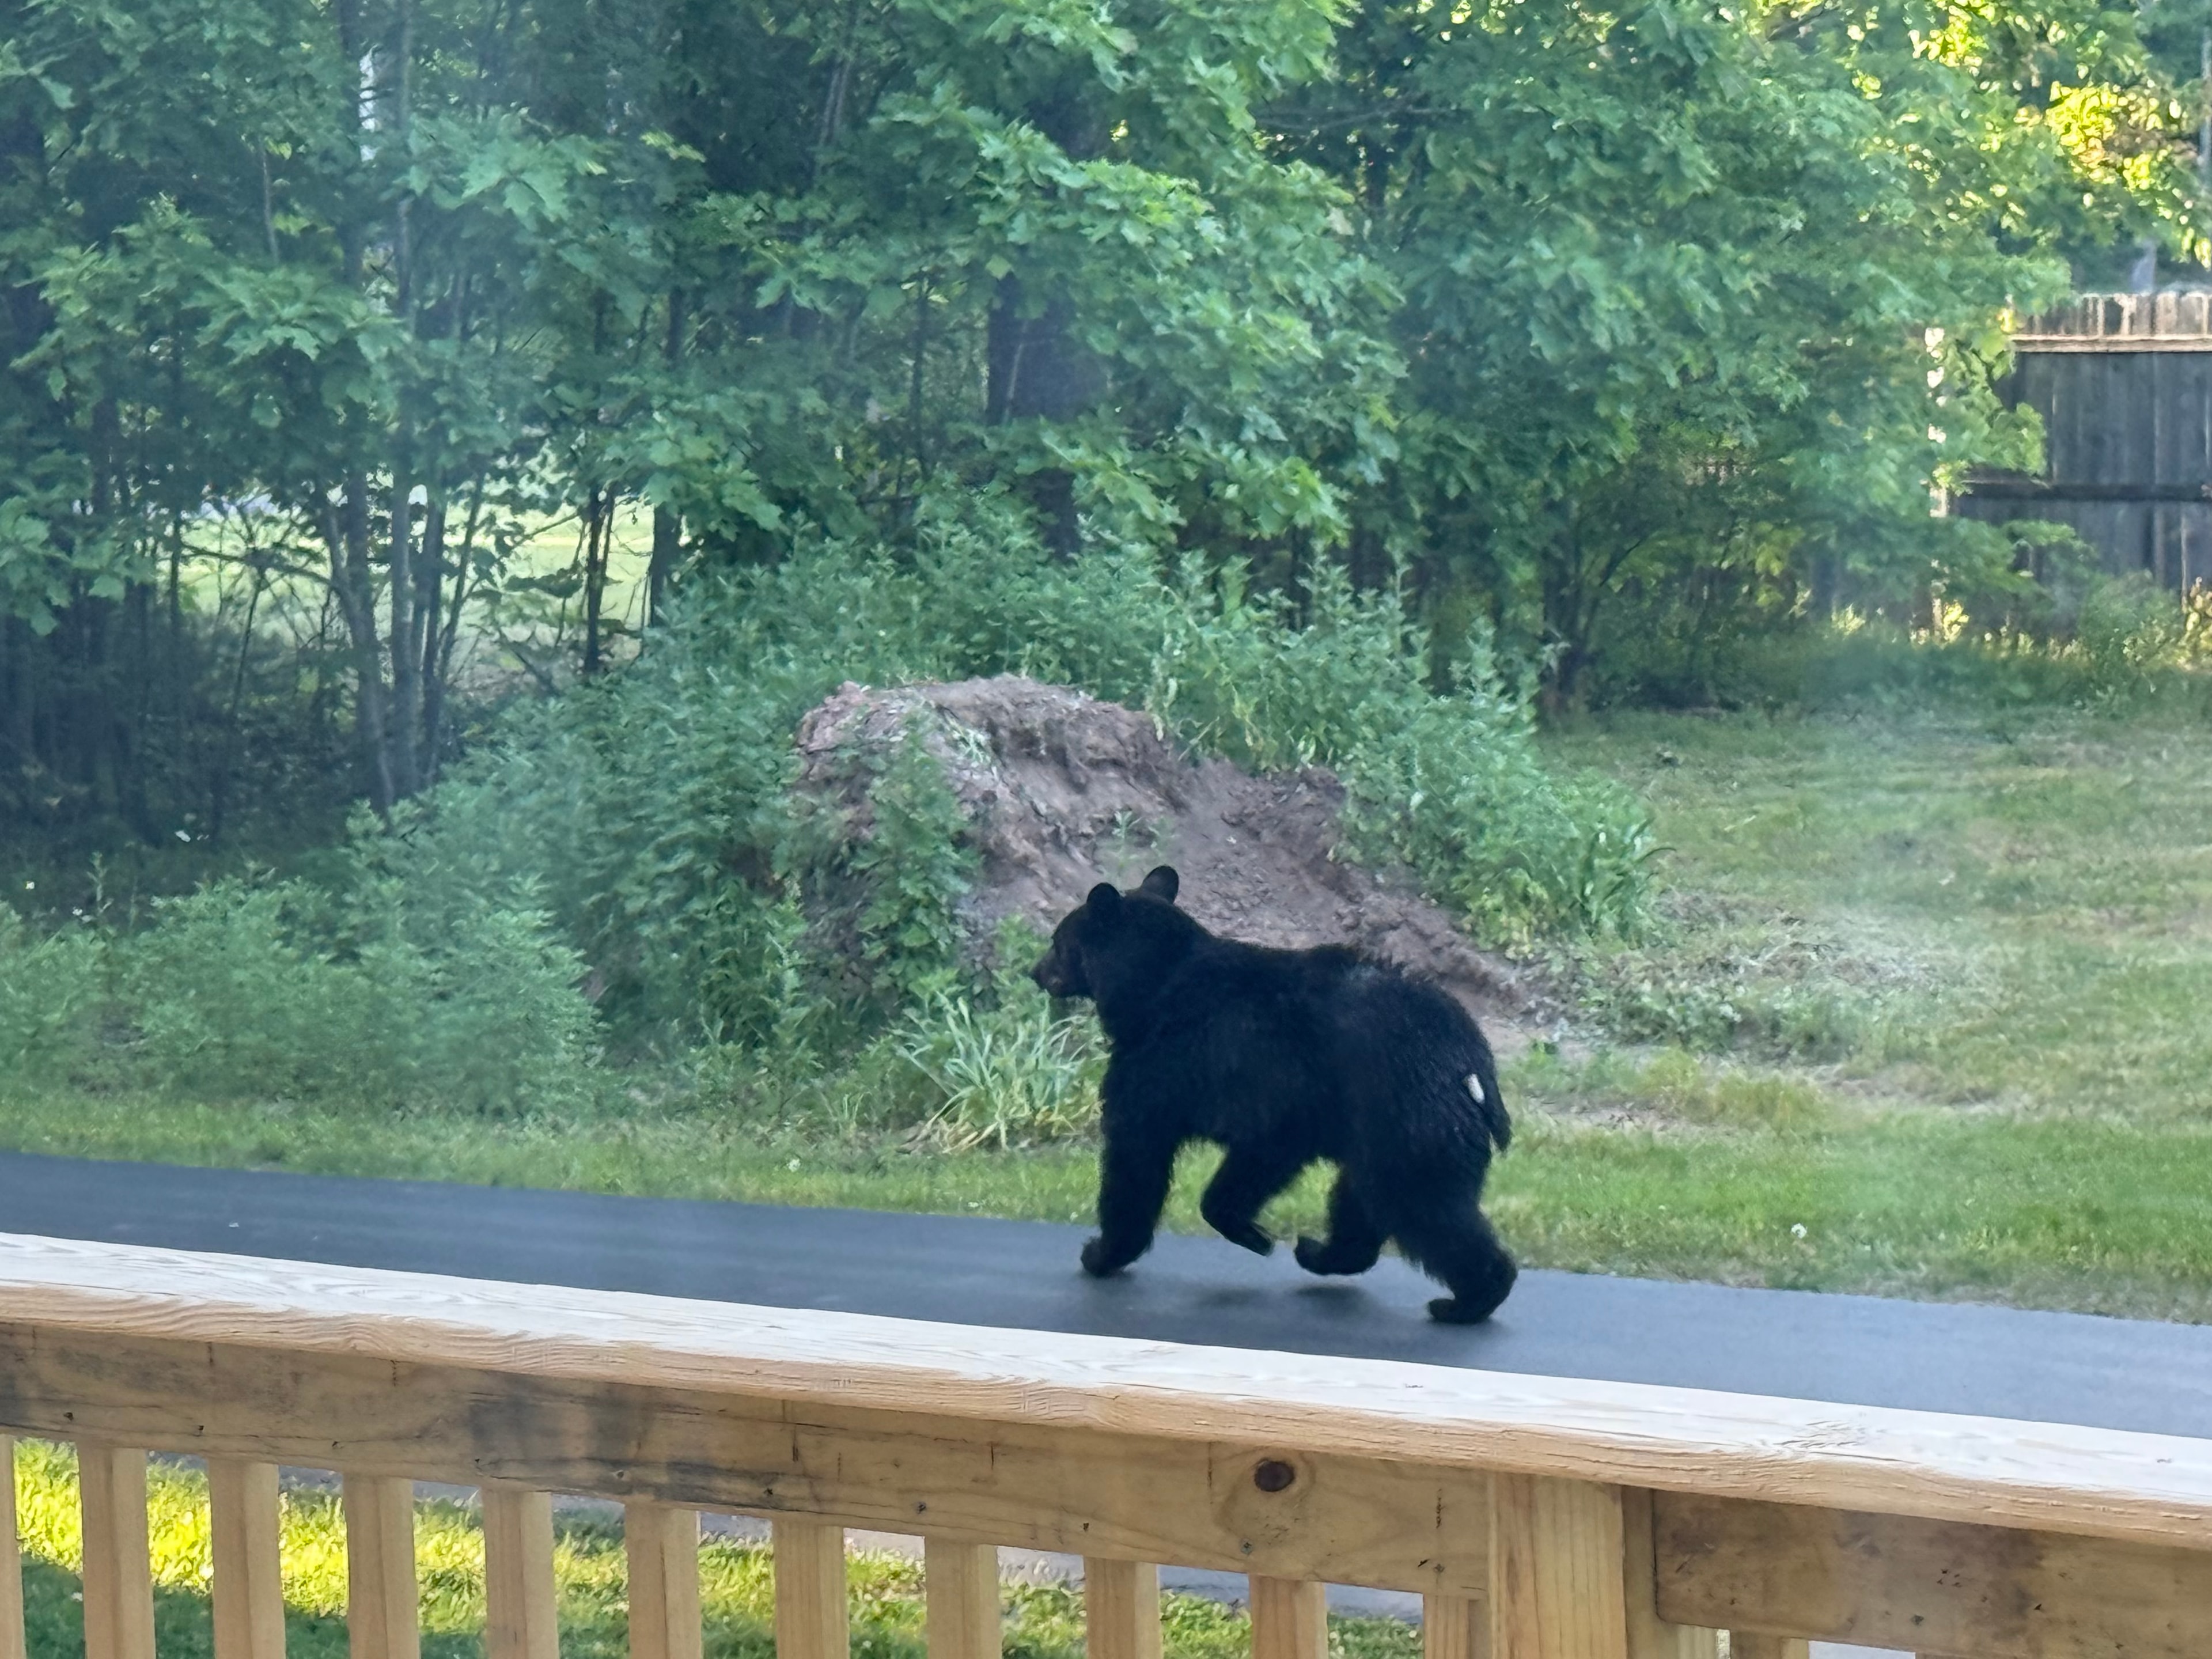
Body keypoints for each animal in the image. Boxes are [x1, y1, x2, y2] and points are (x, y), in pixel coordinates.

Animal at [1030, 865, 1518, 1323]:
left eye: (1058, 940)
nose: (1034, 972)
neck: (1151, 986)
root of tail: (1472, 1058)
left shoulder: (1173, 1066)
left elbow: (1136, 1156)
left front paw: (1102, 1252)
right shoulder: (1283, 1108)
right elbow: (1262, 1157)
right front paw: (1253, 1232)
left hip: (1406, 1112)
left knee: (1421, 1202)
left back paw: (1470, 1300)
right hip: (1379, 1124)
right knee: (1366, 1193)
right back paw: (1322, 1252)